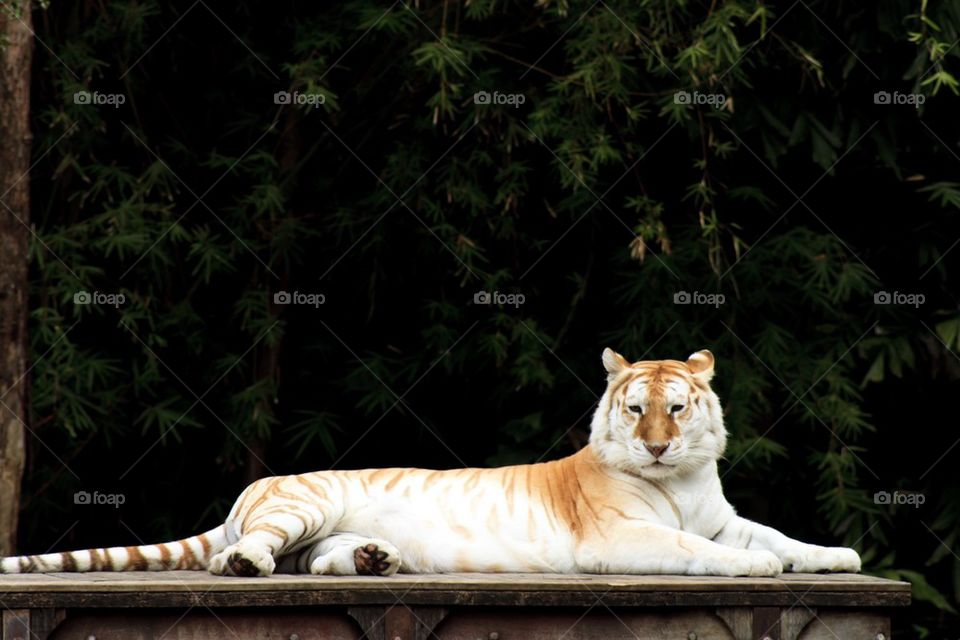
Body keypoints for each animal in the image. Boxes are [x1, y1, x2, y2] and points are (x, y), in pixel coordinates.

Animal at [0, 350, 856, 580]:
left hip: (324, 530)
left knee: (318, 563)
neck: (679, 480)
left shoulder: (728, 518)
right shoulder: (620, 537)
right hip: (299, 505)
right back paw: (246, 564)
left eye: (677, 409)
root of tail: (253, 487)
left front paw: (836, 555)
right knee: (254, 553)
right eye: (635, 407)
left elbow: (778, 536)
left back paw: (375, 560)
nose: (653, 444)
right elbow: (695, 549)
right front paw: (756, 572)